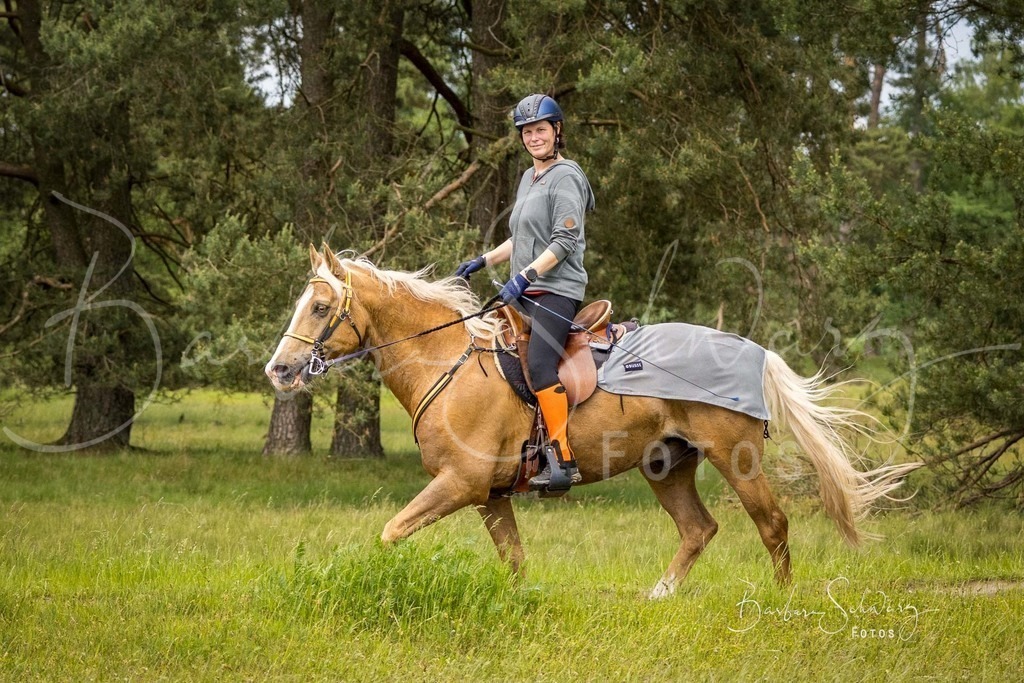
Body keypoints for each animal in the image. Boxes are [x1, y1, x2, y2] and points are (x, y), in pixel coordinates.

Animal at [266, 245, 917, 596]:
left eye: (319, 307)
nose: (280, 369)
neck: (449, 363)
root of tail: (751, 350)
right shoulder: (489, 495)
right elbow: (514, 562)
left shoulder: (460, 485)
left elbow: (392, 532)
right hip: (666, 465)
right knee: (698, 529)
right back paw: (659, 596)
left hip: (738, 460)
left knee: (773, 525)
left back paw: (779, 603)